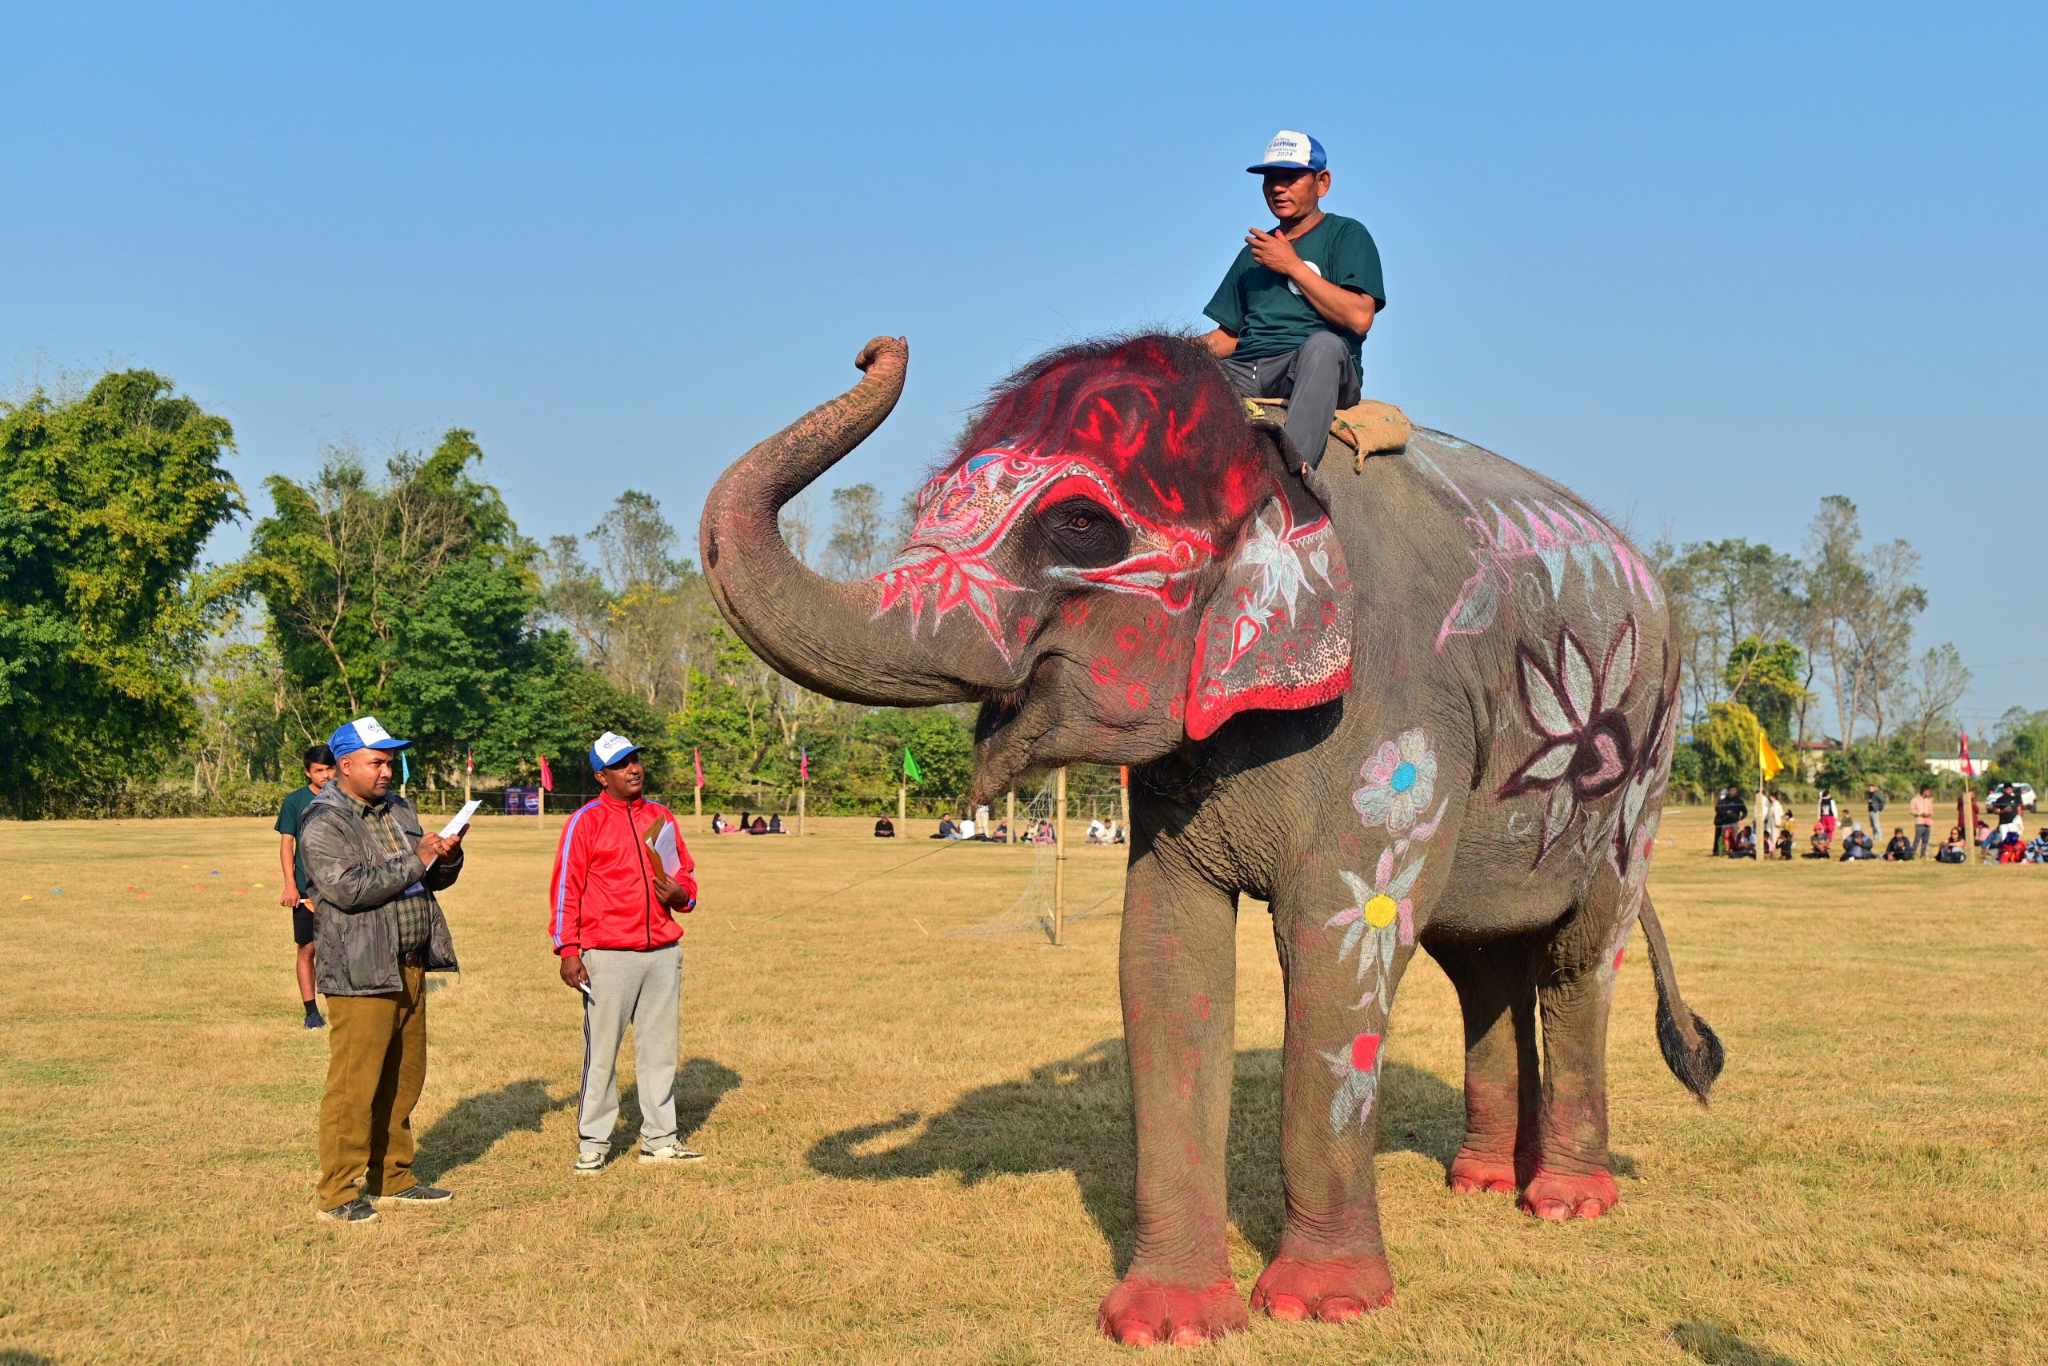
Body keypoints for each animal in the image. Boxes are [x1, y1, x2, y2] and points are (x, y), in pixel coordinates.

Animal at [696, 333, 1720, 1343]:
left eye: (1081, 525)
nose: (879, 348)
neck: (1266, 458)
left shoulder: (1400, 717)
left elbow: (1339, 951)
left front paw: (1323, 1306)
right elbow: (1163, 953)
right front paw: (1171, 1323)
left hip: (1640, 768)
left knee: (1579, 958)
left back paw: (1565, 1202)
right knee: (1483, 965)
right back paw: (1478, 1182)